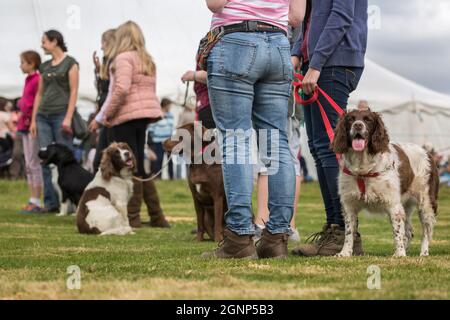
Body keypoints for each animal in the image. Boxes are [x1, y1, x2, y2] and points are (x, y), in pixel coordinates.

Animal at [330, 109, 440, 258]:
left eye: (368, 119)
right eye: (350, 119)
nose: (358, 125)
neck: (363, 167)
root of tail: (427, 152)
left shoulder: (393, 205)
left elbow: (397, 231)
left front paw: (400, 254)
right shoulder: (349, 204)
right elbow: (349, 232)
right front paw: (345, 252)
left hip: (426, 203)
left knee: (426, 231)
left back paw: (423, 253)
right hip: (406, 204)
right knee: (409, 232)